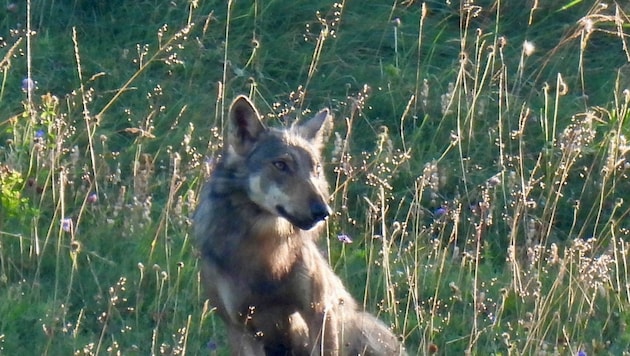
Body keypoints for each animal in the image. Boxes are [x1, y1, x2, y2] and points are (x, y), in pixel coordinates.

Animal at [195, 95, 408, 356]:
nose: (323, 211)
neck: (267, 253)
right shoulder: (240, 329)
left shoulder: (319, 311)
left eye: (315, 169)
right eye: (281, 165)